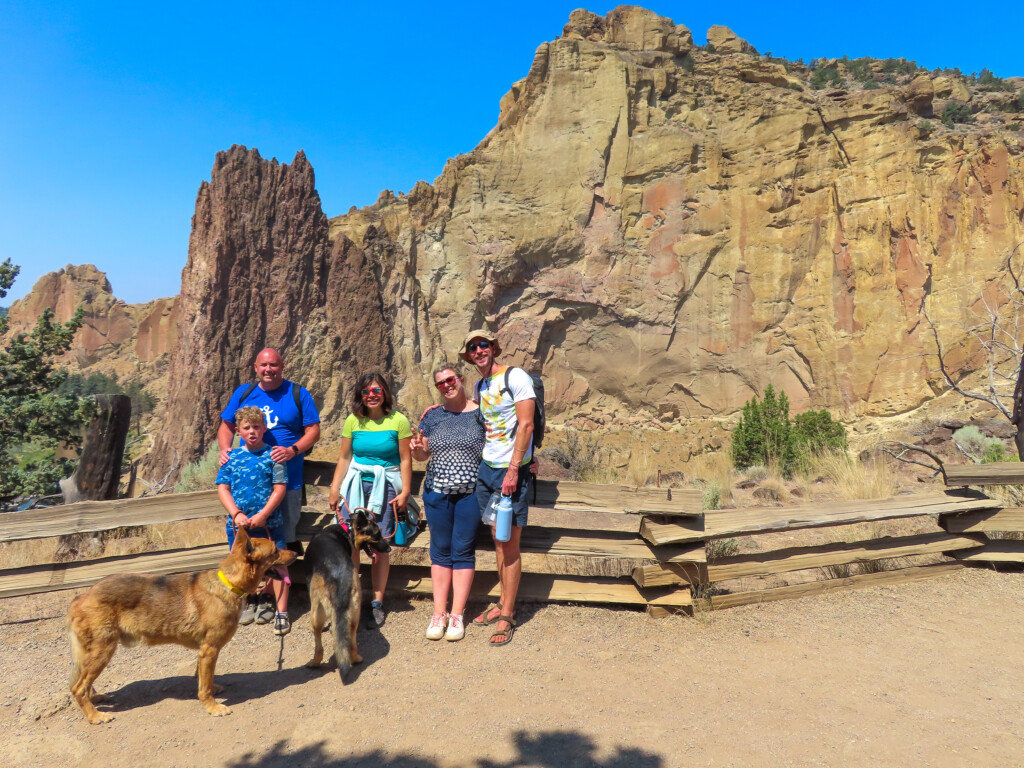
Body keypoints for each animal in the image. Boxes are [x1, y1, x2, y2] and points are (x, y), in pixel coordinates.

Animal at [67, 528, 294, 729]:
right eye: (275, 550)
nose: (296, 553)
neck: (228, 583)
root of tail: (81, 597)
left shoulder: (204, 652)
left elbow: (204, 678)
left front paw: (212, 690)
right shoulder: (209, 649)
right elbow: (205, 686)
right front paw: (212, 707)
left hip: (92, 653)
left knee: (82, 683)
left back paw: (96, 698)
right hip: (103, 651)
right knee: (78, 688)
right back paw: (95, 716)